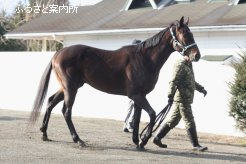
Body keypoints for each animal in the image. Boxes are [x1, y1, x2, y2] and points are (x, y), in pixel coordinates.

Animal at [29, 16, 200, 149]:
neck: (144, 59)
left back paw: (44, 133)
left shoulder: (139, 97)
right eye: (185, 35)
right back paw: (77, 139)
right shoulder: (136, 95)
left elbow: (137, 119)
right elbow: (151, 114)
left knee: (51, 102)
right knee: (66, 111)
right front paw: (144, 140)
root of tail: (57, 53)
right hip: (71, 88)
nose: (196, 55)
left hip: (68, 87)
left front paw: (137, 141)